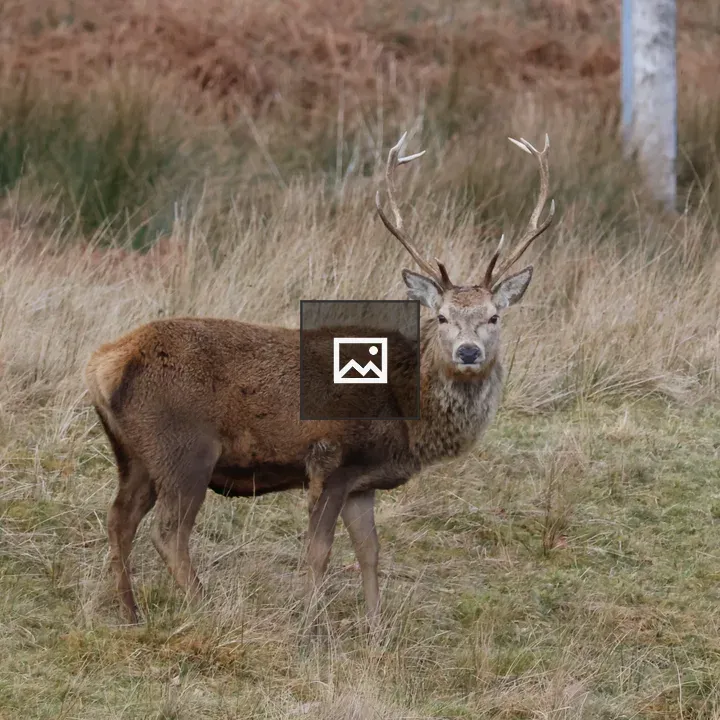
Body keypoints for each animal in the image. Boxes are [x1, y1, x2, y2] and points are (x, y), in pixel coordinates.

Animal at [85, 131, 555, 627]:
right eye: (442, 316)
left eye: (494, 316)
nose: (468, 352)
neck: (405, 412)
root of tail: (103, 364)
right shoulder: (330, 460)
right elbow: (319, 552)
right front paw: (311, 624)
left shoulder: (362, 481)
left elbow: (370, 551)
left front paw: (375, 626)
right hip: (185, 447)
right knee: (169, 532)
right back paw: (203, 606)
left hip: (133, 453)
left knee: (119, 519)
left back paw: (130, 611)